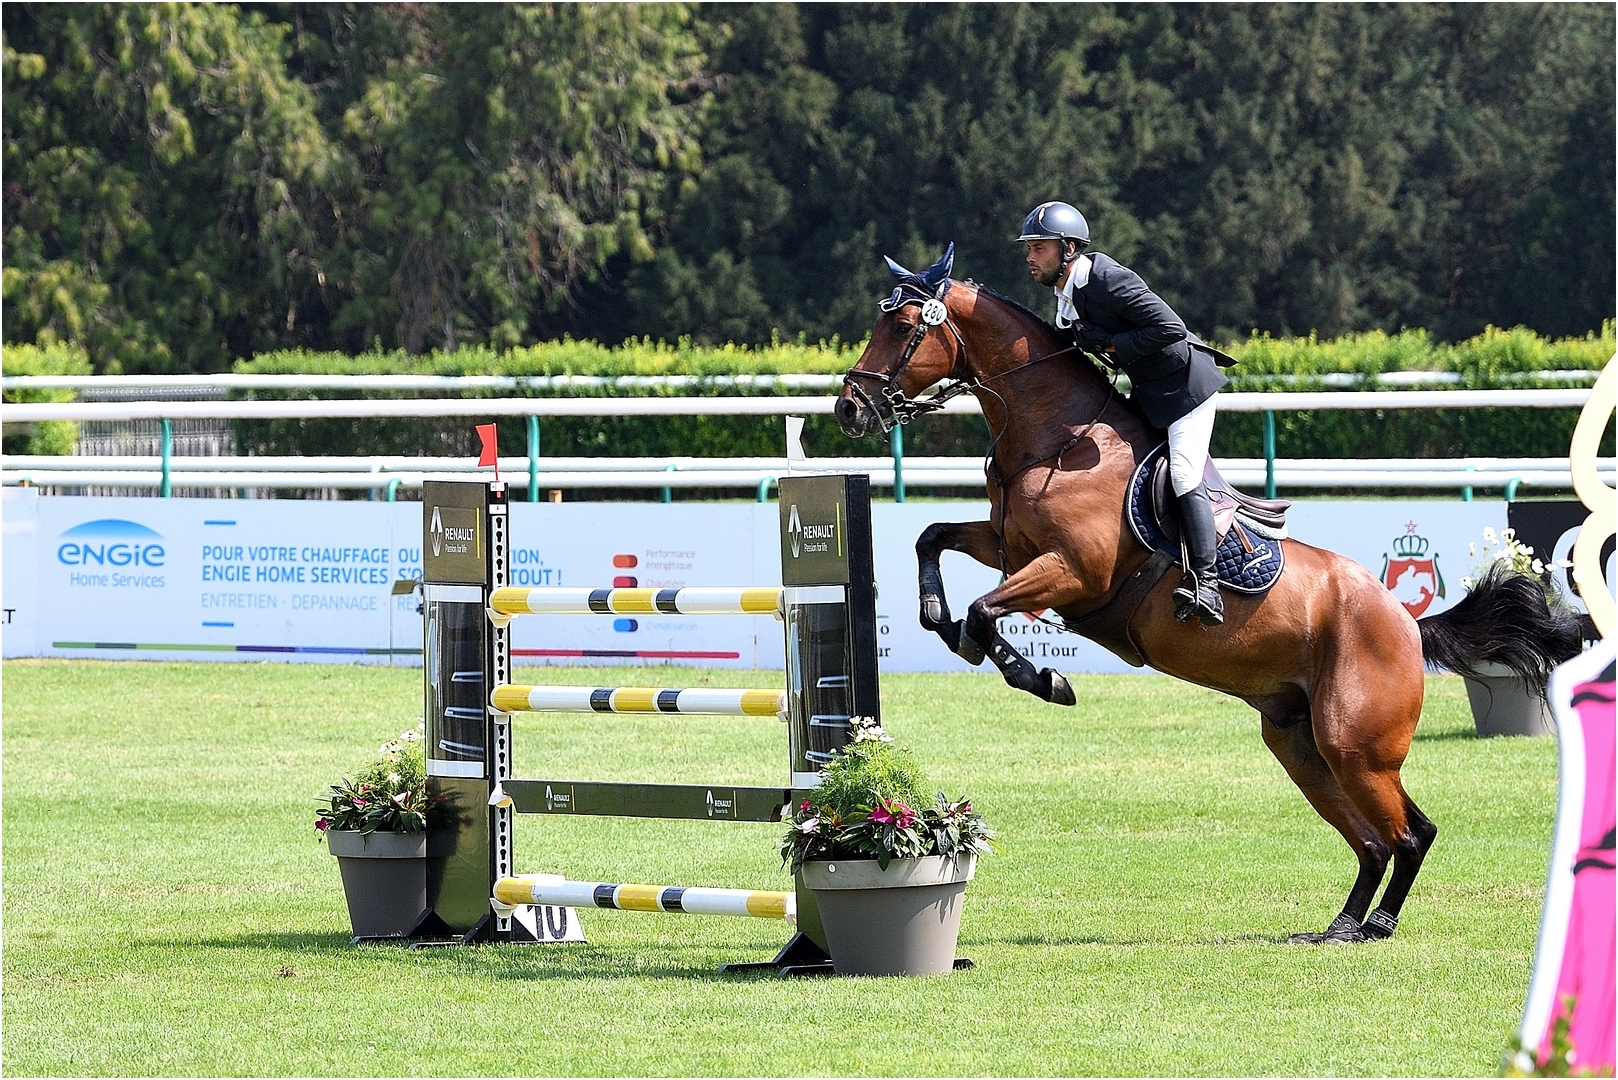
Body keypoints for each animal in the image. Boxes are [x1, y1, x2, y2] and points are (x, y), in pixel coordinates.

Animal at [835, 244, 1584, 944]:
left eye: (902, 324)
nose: (849, 407)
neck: (1055, 436)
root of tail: (1404, 619)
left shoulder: (1073, 571)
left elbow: (987, 610)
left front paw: (1043, 677)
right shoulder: (1008, 546)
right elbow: (931, 540)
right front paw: (941, 621)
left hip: (1356, 745)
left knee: (1411, 833)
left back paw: (1377, 925)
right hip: (1300, 744)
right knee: (1372, 841)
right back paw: (1341, 924)